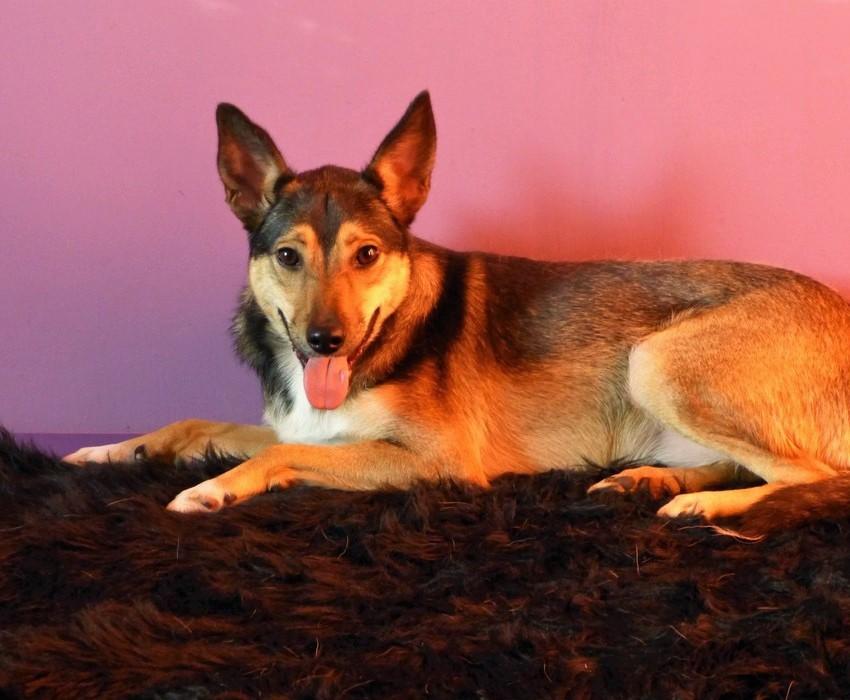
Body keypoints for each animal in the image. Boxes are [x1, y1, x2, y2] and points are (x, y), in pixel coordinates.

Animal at [66, 91, 850, 527]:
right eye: (287, 256)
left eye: (367, 255)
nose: (325, 341)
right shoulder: (309, 424)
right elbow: (197, 423)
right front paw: (111, 451)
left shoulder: (436, 461)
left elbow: (281, 452)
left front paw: (212, 489)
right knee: (757, 469)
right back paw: (651, 479)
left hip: (655, 361)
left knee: (816, 479)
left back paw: (703, 507)